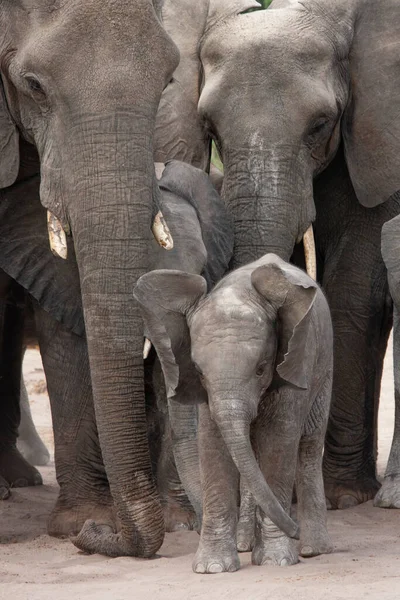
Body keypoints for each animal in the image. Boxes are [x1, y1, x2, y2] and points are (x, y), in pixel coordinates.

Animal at [133, 253, 332, 572]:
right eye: (199, 372)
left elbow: (279, 440)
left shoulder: (294, 360)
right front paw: (213, 568)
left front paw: (276, 562)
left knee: (309, 446)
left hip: (323, 366)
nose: (294, 529)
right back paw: (245, 544)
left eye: (261, 368)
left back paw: (314, 549)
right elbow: (214, 445)